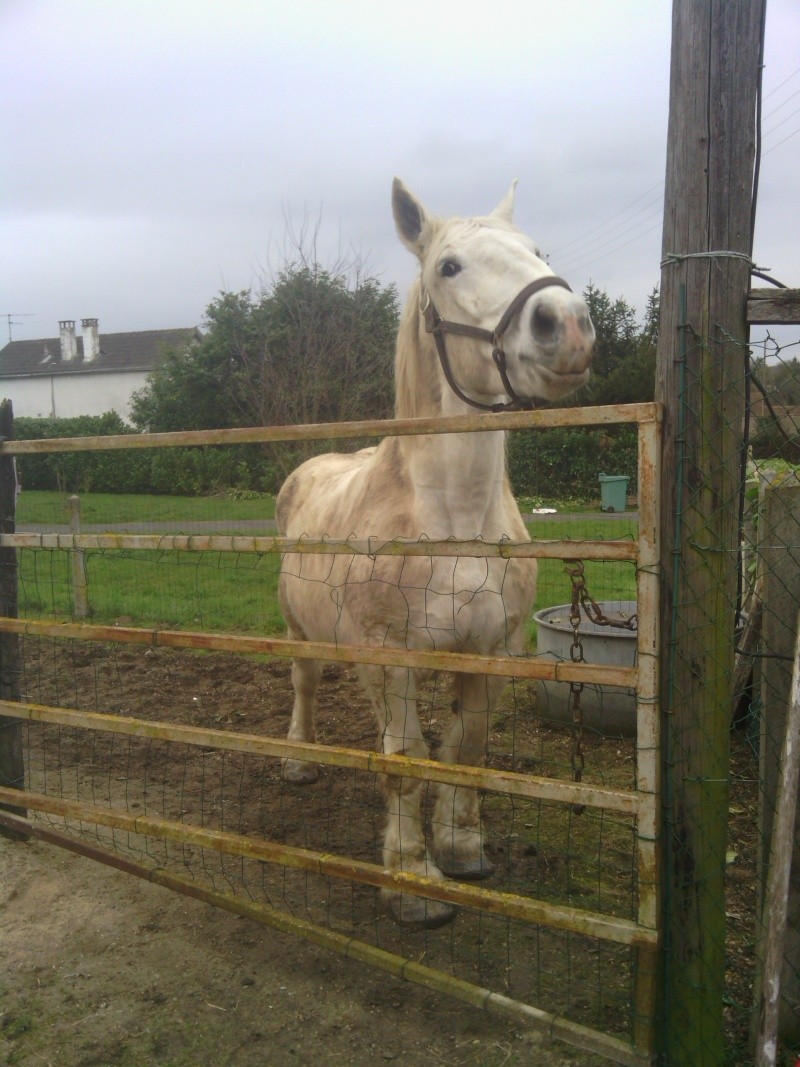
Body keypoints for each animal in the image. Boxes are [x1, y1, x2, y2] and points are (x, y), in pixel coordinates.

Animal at [277, 181, 597, 926]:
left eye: (537, 250)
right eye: (449, 267)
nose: (566, 323)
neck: (454, 521)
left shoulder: (490, 651)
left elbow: (463, 749)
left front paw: (461, 847)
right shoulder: (390, 659)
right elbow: (407, 759)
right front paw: (412, 877)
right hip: (300, 628)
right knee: (305, 683)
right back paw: (300, 759)